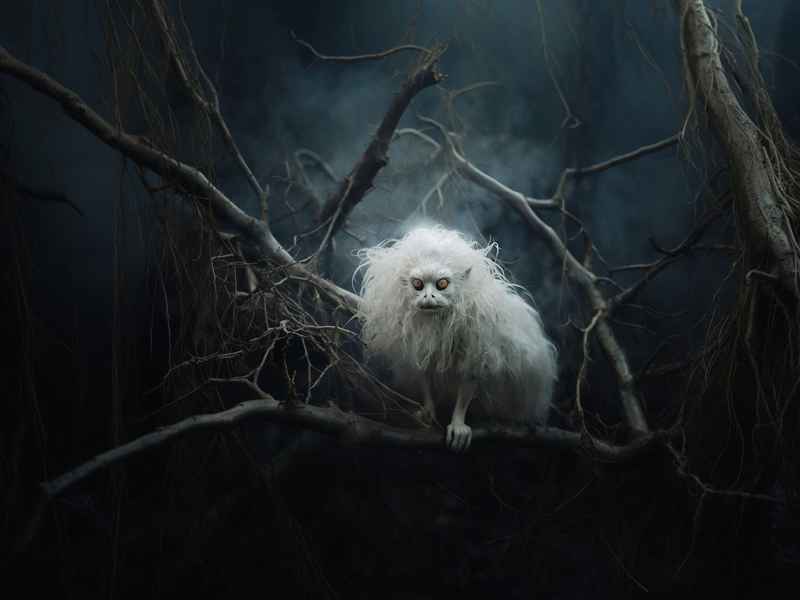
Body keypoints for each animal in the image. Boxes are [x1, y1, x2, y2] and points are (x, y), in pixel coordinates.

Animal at [355, 225, 557, 451]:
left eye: (442, 284)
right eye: (418, 285)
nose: (428, 296)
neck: (438, 321)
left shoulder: (478, 339)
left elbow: (471, 373)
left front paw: (458, 424)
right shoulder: (422, 350)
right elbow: (424, 373)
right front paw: (429, 410)